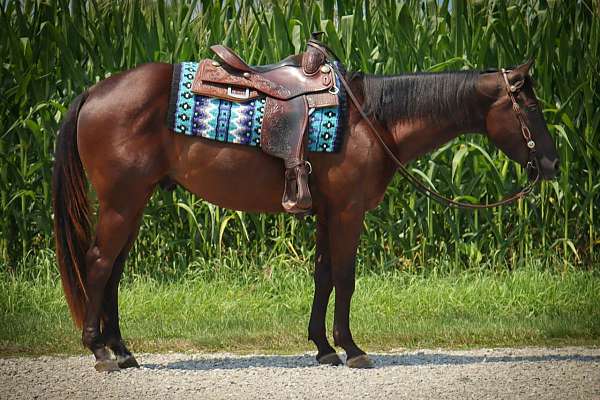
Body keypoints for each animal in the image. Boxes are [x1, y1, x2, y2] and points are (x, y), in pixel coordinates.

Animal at [50, 60, 556, 372]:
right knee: (98, 264)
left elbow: (324, 274)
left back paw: (122, 350)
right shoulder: (349, 211)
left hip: (134, 203)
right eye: (530, 106)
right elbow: (346, 277)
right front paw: (351, 348)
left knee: (113, 271)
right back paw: (99, 351)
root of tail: (94, 91)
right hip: (122, 202)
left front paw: (323, 347)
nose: (551, 164)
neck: (371, 120)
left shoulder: (327, 212)